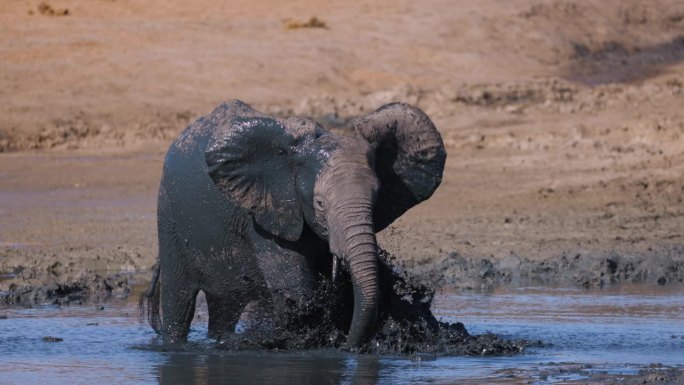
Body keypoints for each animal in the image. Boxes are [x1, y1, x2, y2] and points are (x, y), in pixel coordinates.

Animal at [142, 97, 446, 346]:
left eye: (377, 197)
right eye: (320, 203)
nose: (348, 346)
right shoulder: (265, 217)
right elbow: (298, 293)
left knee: (225, 309)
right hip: (169, 216)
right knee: (179, 302)